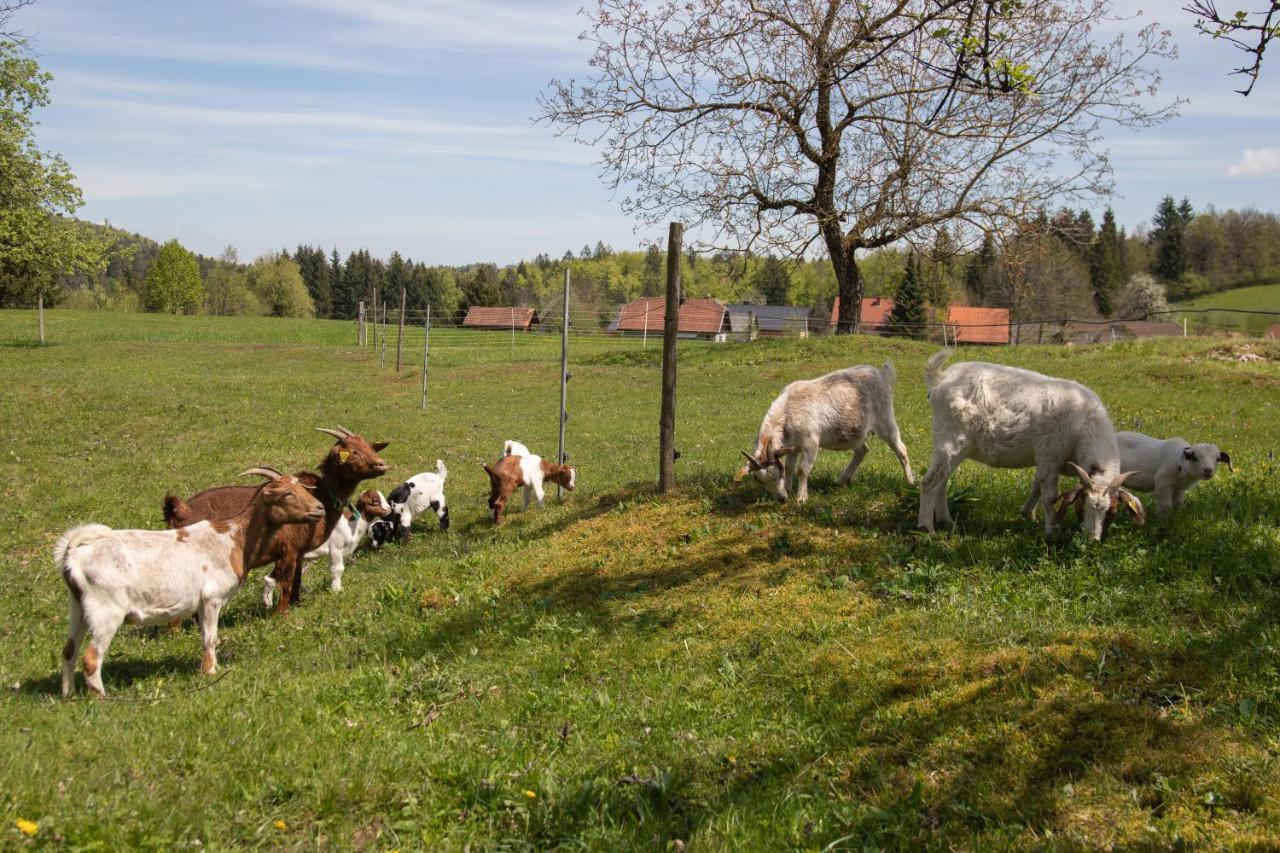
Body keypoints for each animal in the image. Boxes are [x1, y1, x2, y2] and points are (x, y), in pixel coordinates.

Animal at [57, 466, 322, 696]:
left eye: (301, 487)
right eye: (287, 494)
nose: (319, 508)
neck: (235, 539)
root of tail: (73, 556)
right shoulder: (212, 598)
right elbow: (210, 637)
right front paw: (210, 671)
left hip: (78, 607)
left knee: (69, 650)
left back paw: (68, 695)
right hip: (106, 610)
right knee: (91, 657)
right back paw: (101, 697)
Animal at [162, 425, 386, 612]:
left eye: (369, 446)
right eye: (354, 451)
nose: (382, 464)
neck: (321, 494)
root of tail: (181, 510)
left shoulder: (299, 551)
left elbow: (297, 578)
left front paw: (296, 604)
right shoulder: (291, 549)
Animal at [737, 358, 916, 499]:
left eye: (776, 474)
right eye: (760, 481)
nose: (781, 499)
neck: (787, 410)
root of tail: (881, 374)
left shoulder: (810, 440)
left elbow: (802, 469)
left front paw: (801, 498)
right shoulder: (793, 445)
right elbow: (790, 467)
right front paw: (788, 489)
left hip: (885, 418)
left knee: (901, 449)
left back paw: (910, 481)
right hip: (855, 431)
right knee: (862, 451)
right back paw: (842, 480)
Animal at [921, 345, 1141, 537]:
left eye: (1111, 512)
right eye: (1080, 507)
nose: (1092, 539)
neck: (1083, 424)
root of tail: (940, 378)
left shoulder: (1047, 460)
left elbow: (1037, 485)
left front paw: (1028, 515)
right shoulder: (1050, 454)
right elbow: (1050, 497)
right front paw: (1052, 532)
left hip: (958, 447)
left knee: (942, 482)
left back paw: (947, 523)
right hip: (950, 439)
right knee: (930, 482)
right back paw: (928, 530)